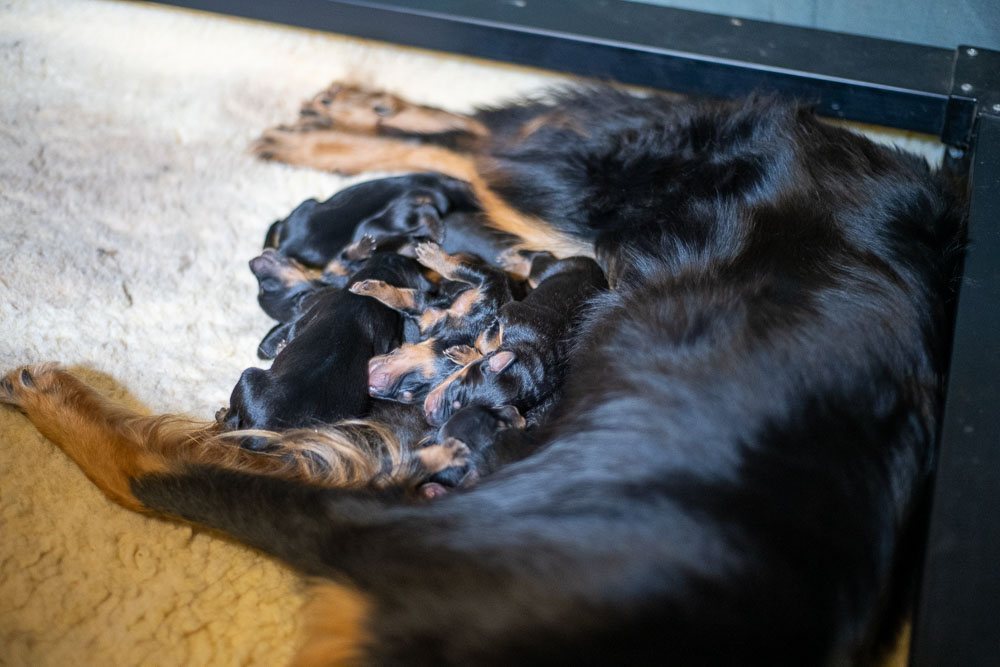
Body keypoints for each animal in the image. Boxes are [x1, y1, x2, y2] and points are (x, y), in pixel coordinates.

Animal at [3, 85, 964, 667]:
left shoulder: (372, 530)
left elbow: (148, 468)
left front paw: (48, 387)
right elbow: (149, 466)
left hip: (573, 229)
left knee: (477, 164)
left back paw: (347, 130)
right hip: (595, 187)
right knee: (483, 142)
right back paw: (345, 119)